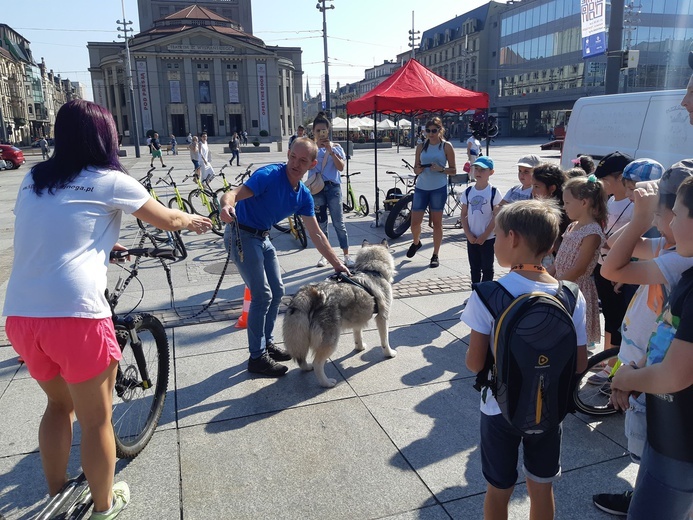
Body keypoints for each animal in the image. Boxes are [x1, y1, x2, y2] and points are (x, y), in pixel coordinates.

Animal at [282, 240, 394, 386]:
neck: (372, 270)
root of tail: (313, 292)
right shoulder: (382, 318)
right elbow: (385, 341)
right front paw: (389, 354)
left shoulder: (357, 320)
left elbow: (358, 336)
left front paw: (360, 348)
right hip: (331, 341)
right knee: (317, 363)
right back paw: (327, 383)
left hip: (303, 340)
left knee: (302, 360)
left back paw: (307, 368)